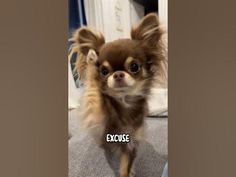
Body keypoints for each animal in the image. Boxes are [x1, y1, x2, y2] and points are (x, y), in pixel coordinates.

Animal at [71, 13, 165, 177]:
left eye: (134, 66)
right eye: (104, 71)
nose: (118, 74)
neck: (124, 101)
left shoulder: (130, 141)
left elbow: (125, 166)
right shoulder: (95, 114)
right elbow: (95, 89)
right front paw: (92, 59)